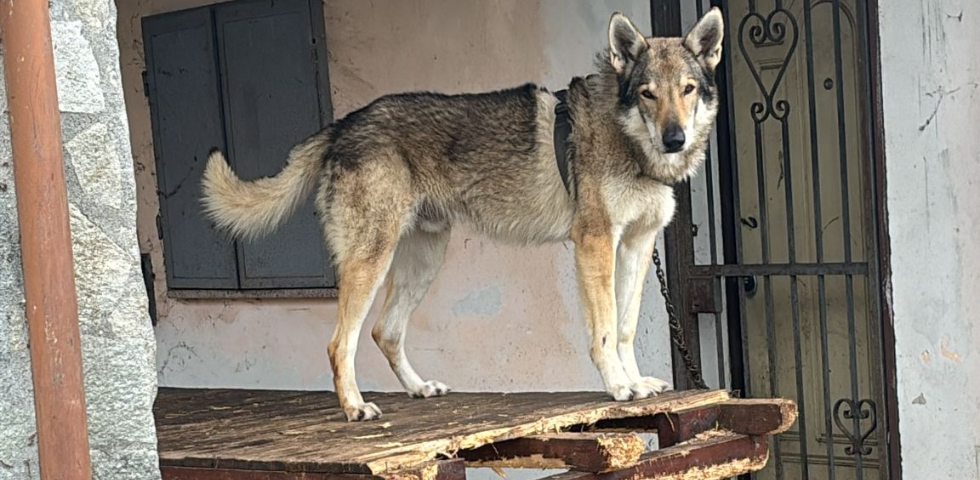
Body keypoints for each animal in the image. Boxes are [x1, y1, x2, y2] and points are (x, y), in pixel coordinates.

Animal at [201, 7, 720, 420]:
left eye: (688, 90)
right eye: (649, 93)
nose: (674, 139)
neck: (630, 140)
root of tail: (343, 124)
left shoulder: (637, 244)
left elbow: (627, 327)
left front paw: (637, 382)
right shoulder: (595, 243)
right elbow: (607, 330)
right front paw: (617, 387)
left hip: (424, 261)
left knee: (385, 331)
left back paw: (419, 389)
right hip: (372, 261)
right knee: (339, 343)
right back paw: (355, 408)